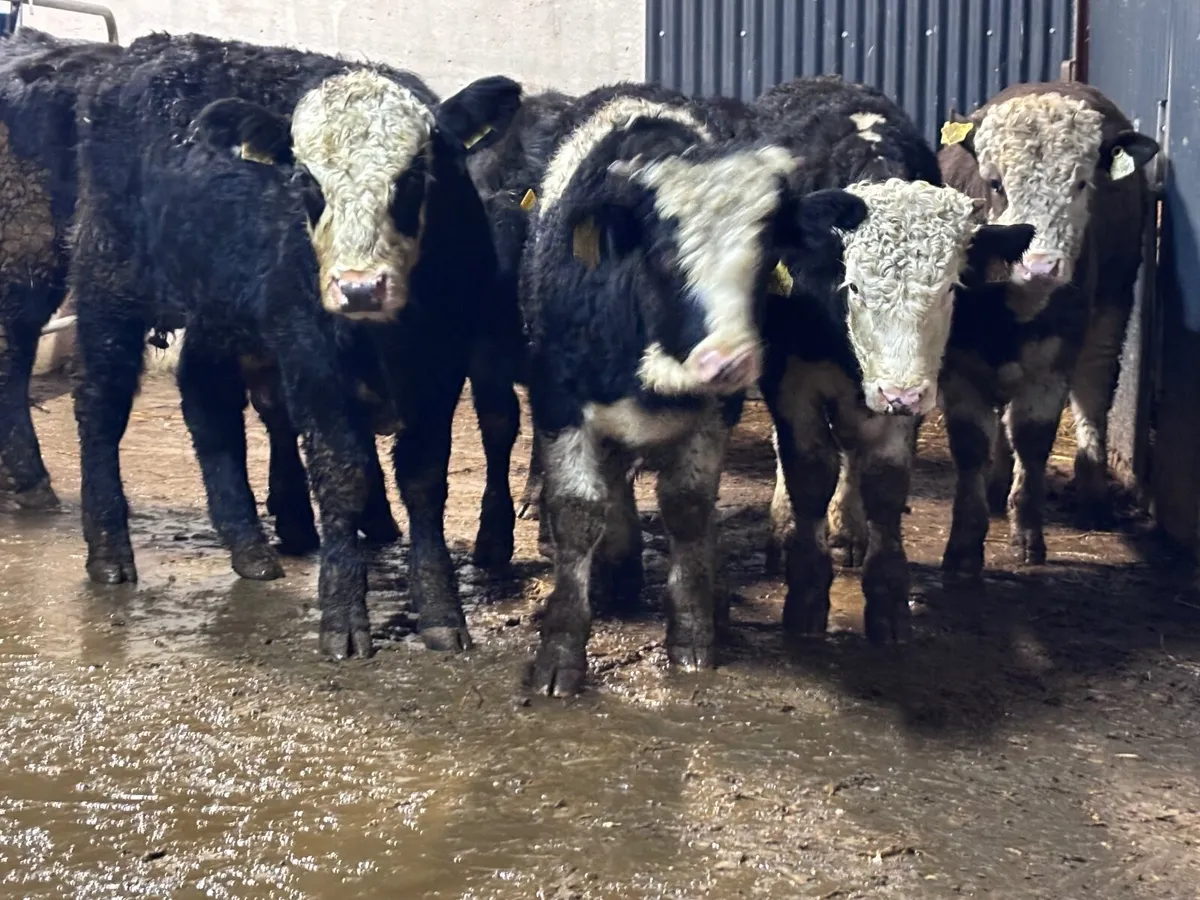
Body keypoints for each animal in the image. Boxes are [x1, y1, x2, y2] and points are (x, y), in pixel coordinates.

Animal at [68, 32, 521, 657]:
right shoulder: (311, 358)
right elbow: (343, 473)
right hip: (107, 277)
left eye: (414, 177)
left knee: (207, 403)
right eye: (307, 182)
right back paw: (110, 551)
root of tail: (143, 51)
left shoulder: (444, 361)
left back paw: (248, 545)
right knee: (101, 405)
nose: (359, 287)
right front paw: (343, 613)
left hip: (217, 306)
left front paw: (440, 609)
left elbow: (424, 478)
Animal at [516, 82, 869, 695]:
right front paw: (560, 648)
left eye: (766, 258)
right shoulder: (560, 402)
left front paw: (694, 630)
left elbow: (688, 506)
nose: (728, 360)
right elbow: (578, 512)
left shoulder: (713, 415)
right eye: (662, 253)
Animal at [752, 76, 1035, 643]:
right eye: (855, 287)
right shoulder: (790, 378)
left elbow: (883, 481)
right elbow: (807, 471)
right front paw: (806, 596)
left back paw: (848, 531)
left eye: (950, 287)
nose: (899, 393)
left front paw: (886, 601)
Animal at [939, 83, 1160, 530]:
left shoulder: (1059, 348)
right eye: (995, 183)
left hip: (1112, 307)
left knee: (1092, 391)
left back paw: (1093, 494)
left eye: (1082, 183)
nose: (1040, 265)